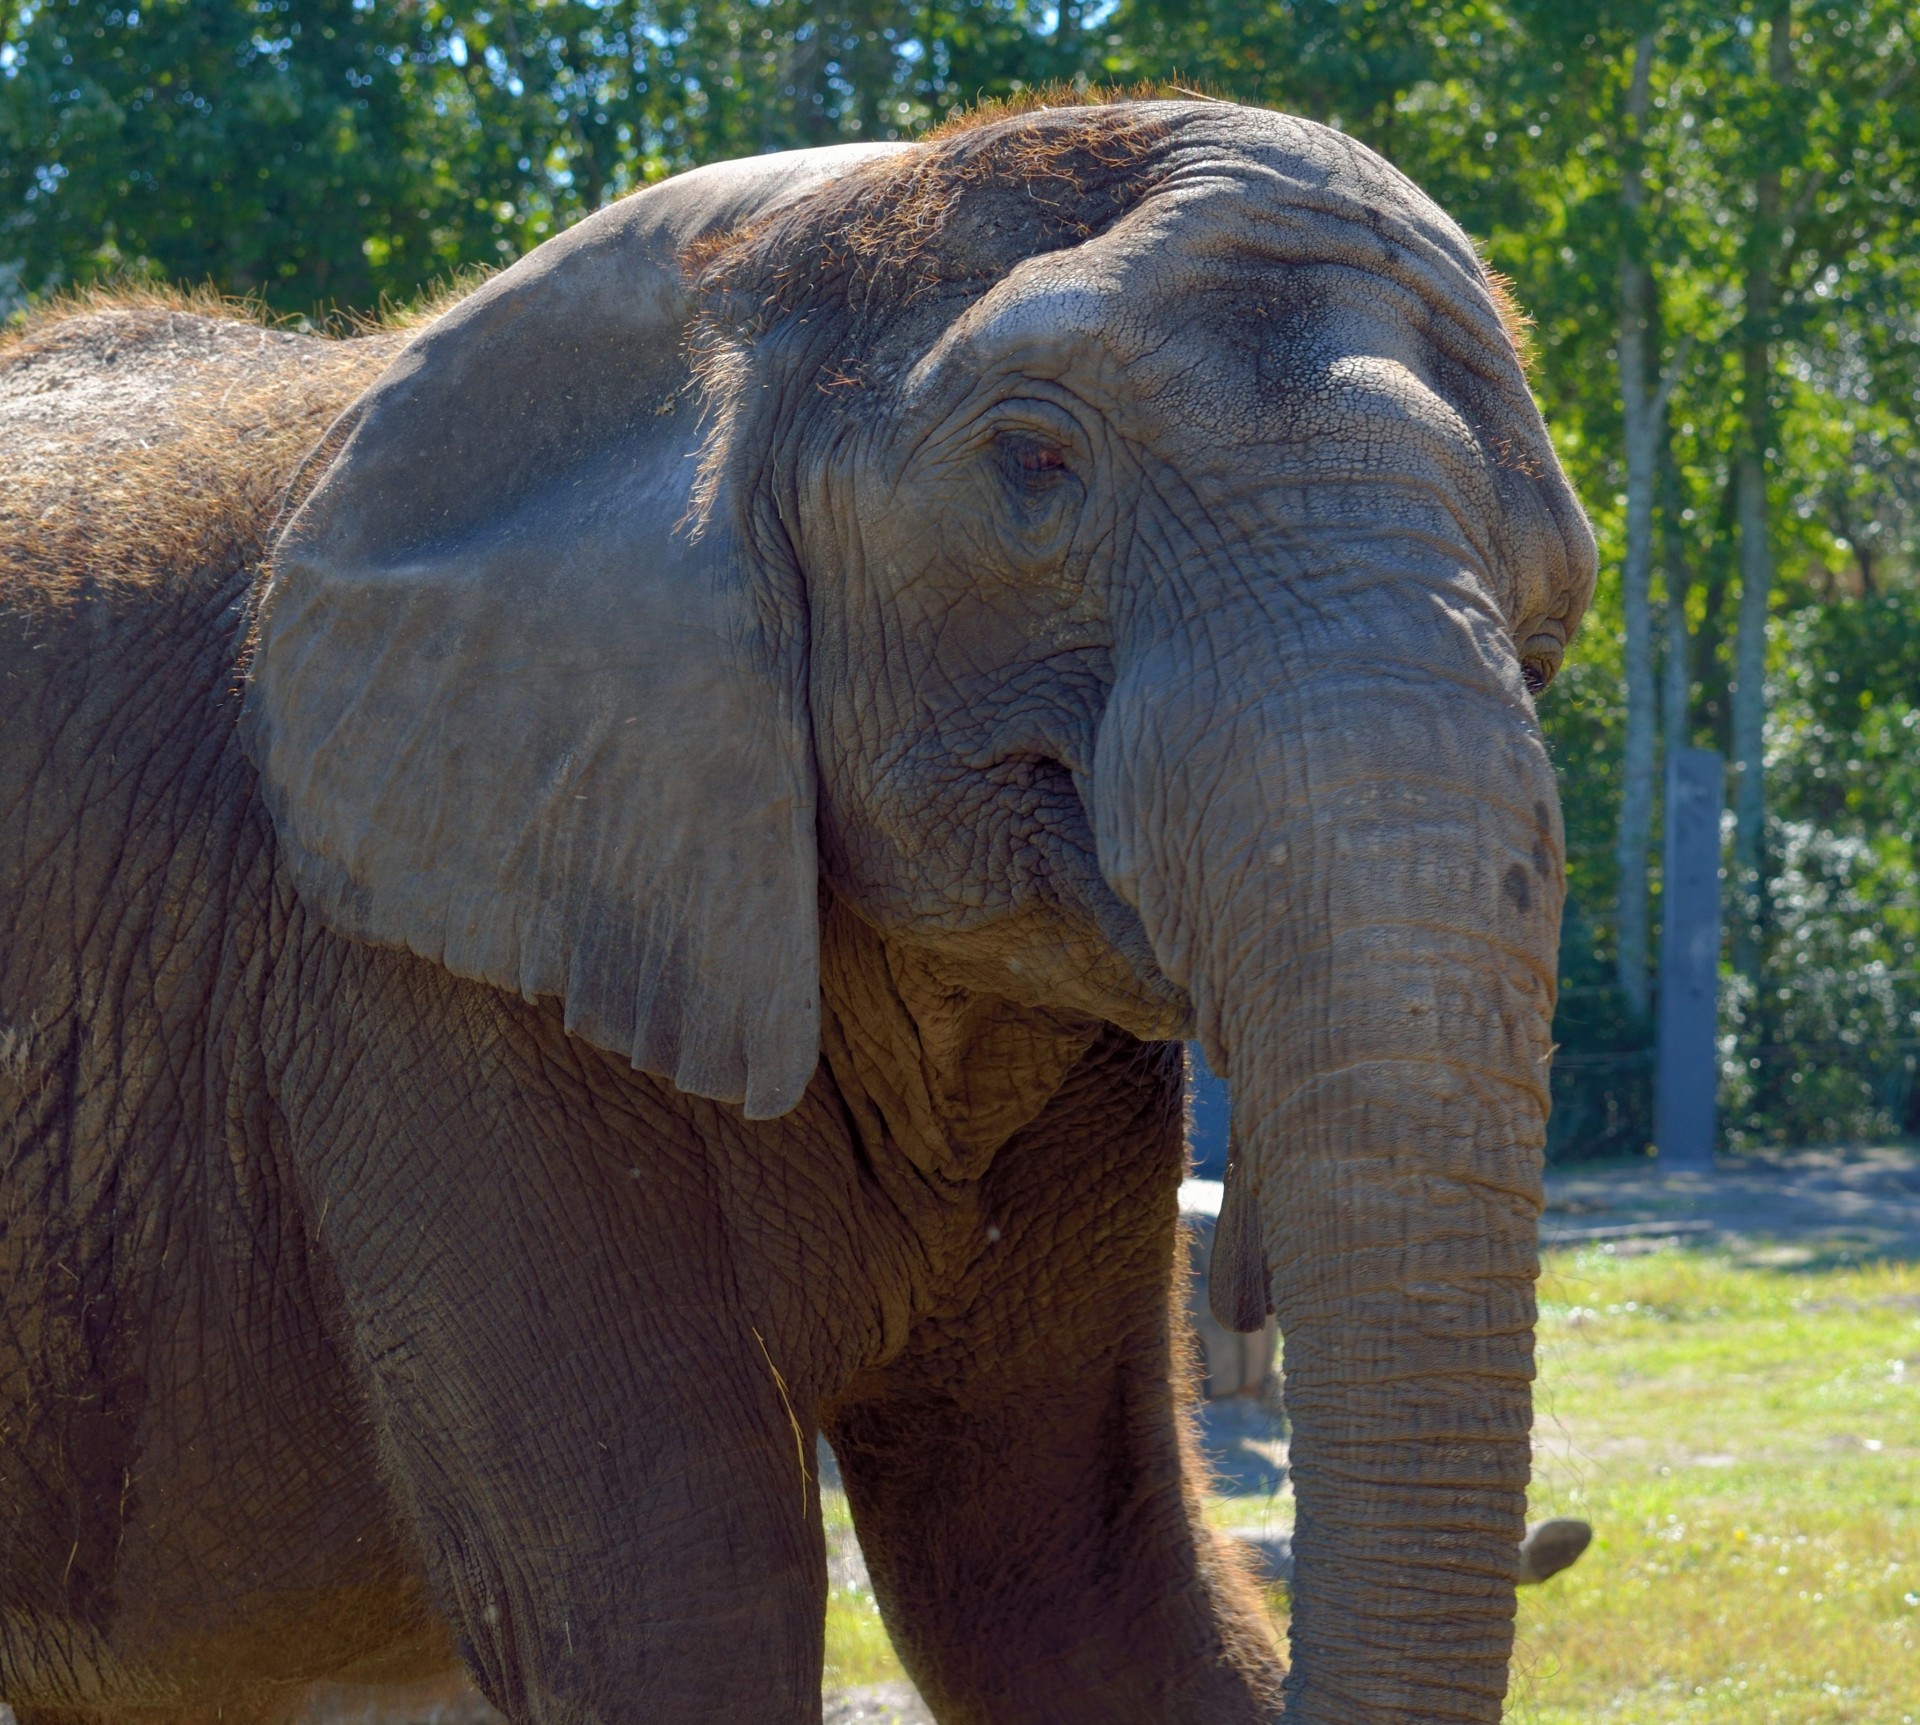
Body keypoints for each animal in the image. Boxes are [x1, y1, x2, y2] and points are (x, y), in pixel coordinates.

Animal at [3, 97, 1589, 1721]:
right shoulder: (407, 947)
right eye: (1032, 461)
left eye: (1552, 626)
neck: (767, 262)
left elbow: (1079, 1583)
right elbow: (678, 1589)